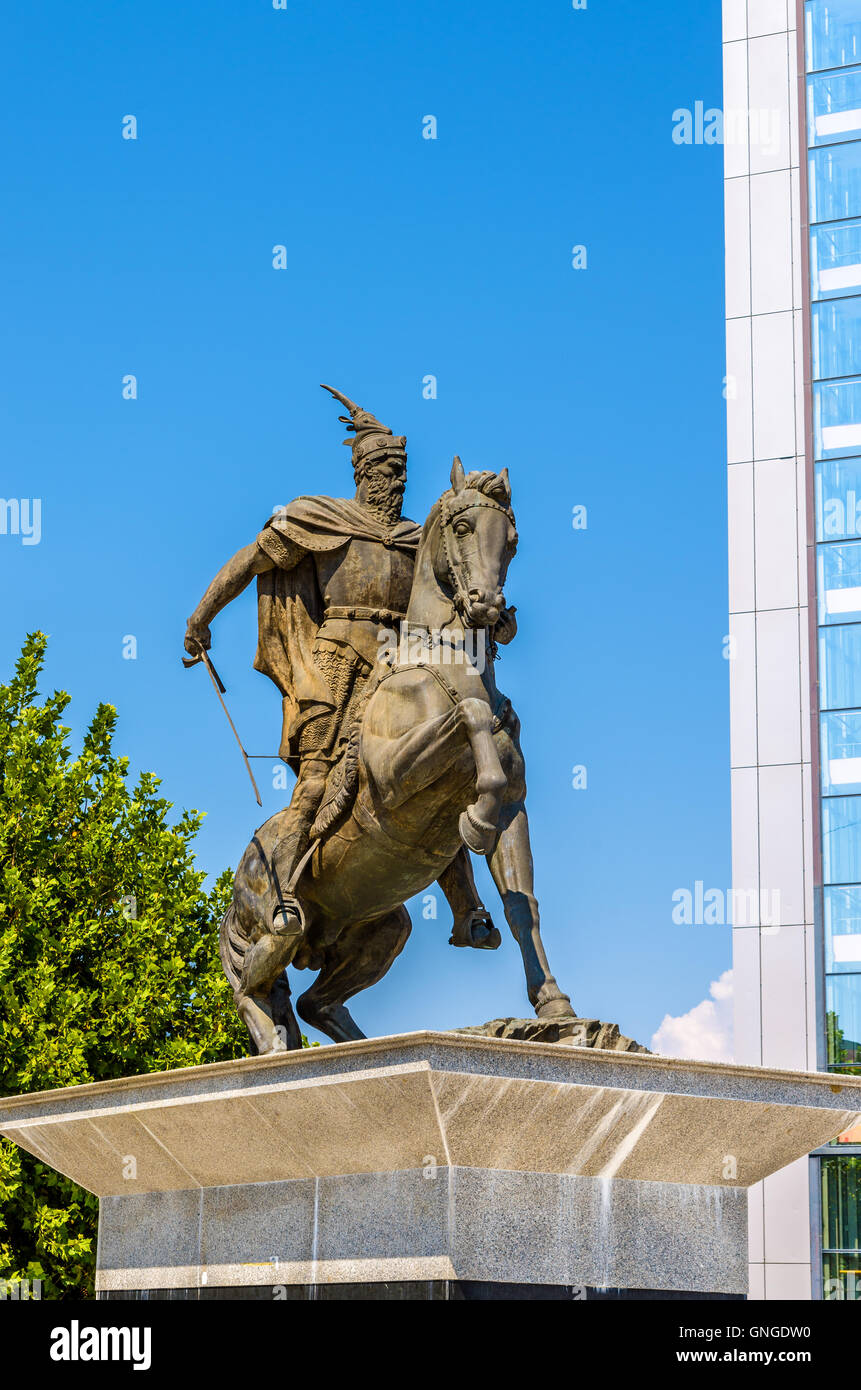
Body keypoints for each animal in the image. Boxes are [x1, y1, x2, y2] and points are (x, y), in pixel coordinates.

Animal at [222, 458, 575, 1050]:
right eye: (462, 528)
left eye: (512, 541)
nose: (488, 608)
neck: (444, 667)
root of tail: (243, 868)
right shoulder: (390, 783)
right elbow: (469, 716)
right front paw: (474, 821)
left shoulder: (516, 808)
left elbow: (522, 906)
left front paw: (555, 1005)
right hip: (277, 927)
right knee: (253, 981)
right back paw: (273, 1047)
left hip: (381, 929)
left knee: (314, 1001)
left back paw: (360, 1047)